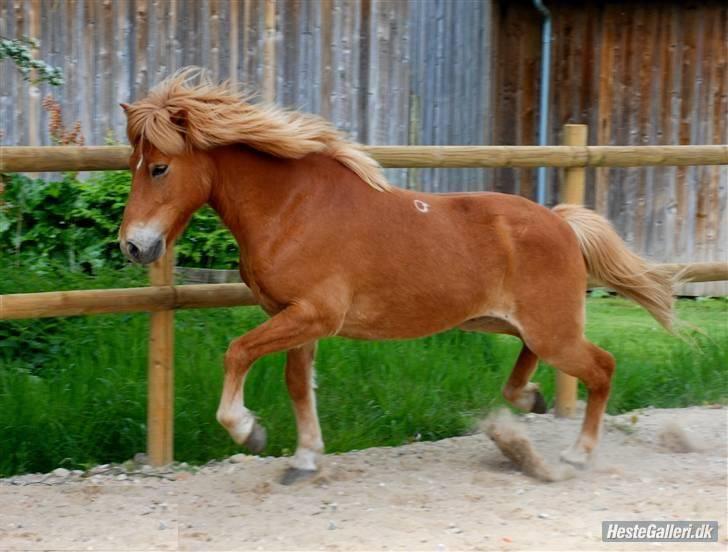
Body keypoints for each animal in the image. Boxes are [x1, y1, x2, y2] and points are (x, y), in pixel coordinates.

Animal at [118, 72, 672, 484]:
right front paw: (304, 459)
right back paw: (529, 400)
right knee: (535, 360)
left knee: (602, 367)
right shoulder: (294, 318)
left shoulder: (314, 314)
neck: (293, 208)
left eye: (160, 168)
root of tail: (561, 222)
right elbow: (297, 384)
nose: (133, 246)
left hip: (552, 329)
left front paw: (247, 430)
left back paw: (577, 454)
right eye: (133, 164)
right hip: (513, 323)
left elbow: (237, 352)